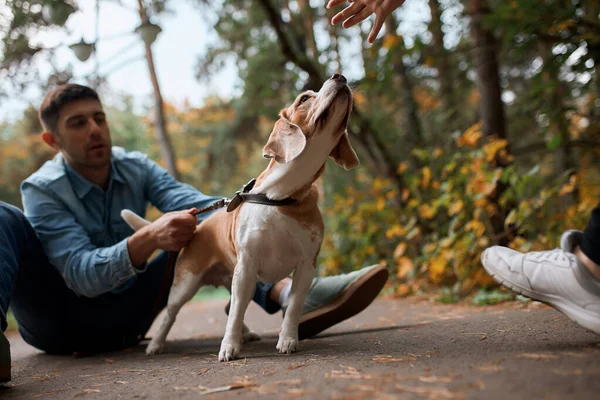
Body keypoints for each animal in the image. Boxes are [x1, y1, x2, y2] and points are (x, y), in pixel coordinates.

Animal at [121, 73, 356, 360]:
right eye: (304, 98)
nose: (340, 76)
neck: (279, 197)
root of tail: (199, 229)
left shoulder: (305, 266)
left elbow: (292, 308)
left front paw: (288, 339)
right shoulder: (246, 267)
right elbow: (234, 315)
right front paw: (229, 347)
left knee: (230, 306)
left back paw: (248, 333)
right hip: (185, 285)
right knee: (172, 315)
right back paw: (156, 344)